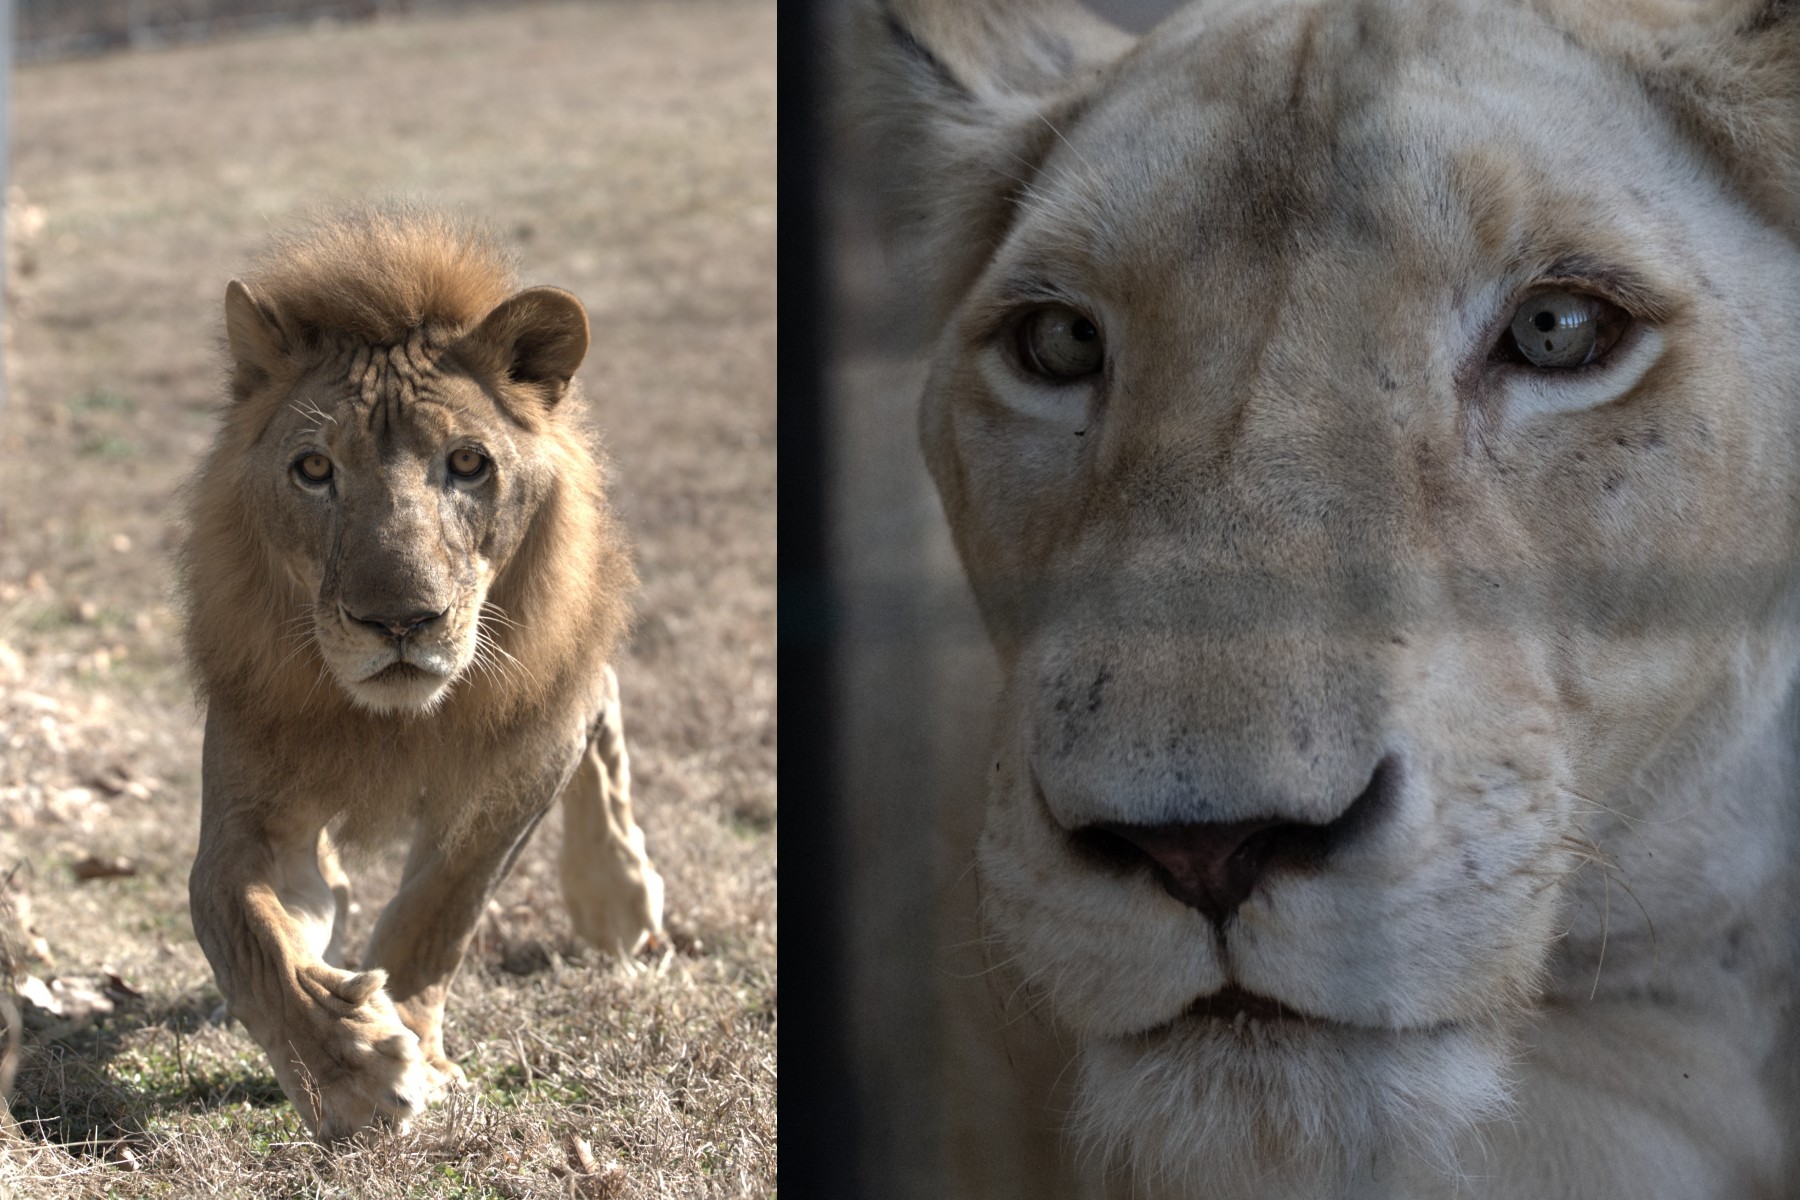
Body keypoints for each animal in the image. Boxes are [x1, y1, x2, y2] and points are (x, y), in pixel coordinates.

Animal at [178, 206, 664, 1141]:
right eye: (314, 469)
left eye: (468, 463)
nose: (400, 621)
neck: (391, 722)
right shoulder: (250, 798)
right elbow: (239, 923)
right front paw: (351, 1072)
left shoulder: (516, 773)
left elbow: (438, 911)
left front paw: (410, 1054)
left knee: (600, 690)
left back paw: (618, 893)